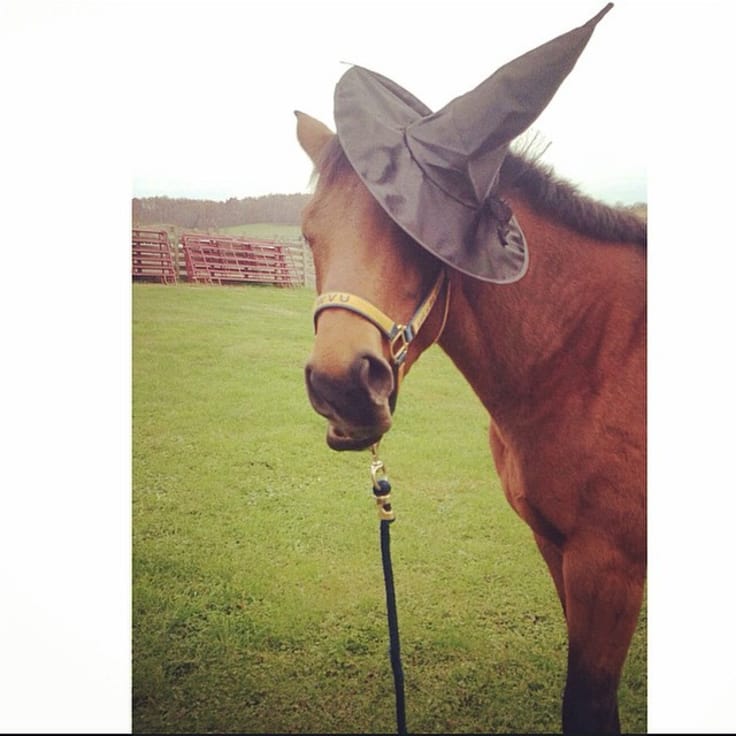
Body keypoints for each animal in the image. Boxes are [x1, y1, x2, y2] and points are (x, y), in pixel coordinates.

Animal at [295, 108, 646, 734]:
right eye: (311, 232)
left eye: (420, 236)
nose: (342, 389)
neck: (595, 355)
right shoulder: (557, 548)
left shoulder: (610, 568)